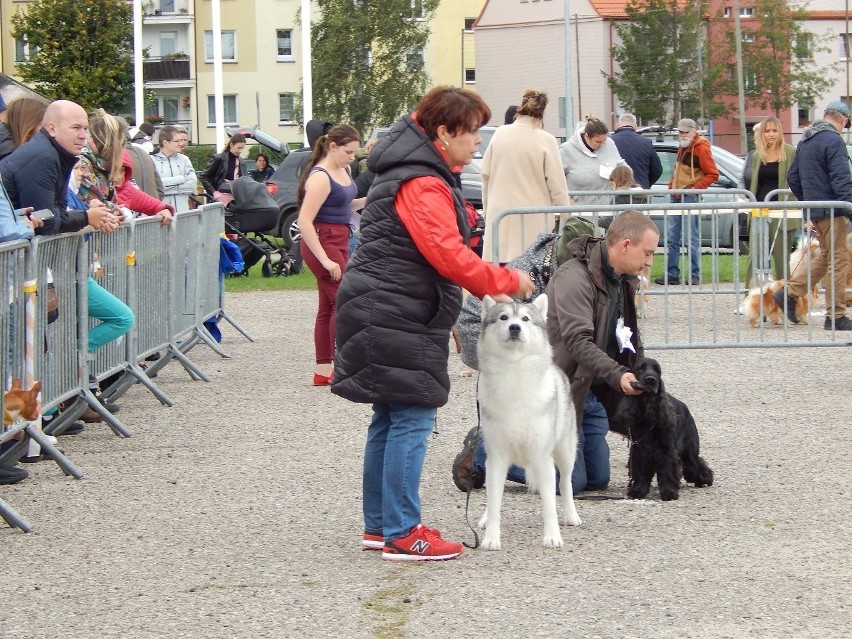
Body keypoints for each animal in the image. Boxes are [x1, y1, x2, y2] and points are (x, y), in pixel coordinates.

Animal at [476, 296, 584, 552]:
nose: (515, 328)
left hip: (565, 452)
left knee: (565, 484)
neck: (514, 371)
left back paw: (571, 515)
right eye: (504, 317)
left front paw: (552, 536)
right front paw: (491, 538)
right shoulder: (496, 458)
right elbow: (494, 503)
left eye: (525, 319)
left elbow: (550, 505)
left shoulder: (543, 458)